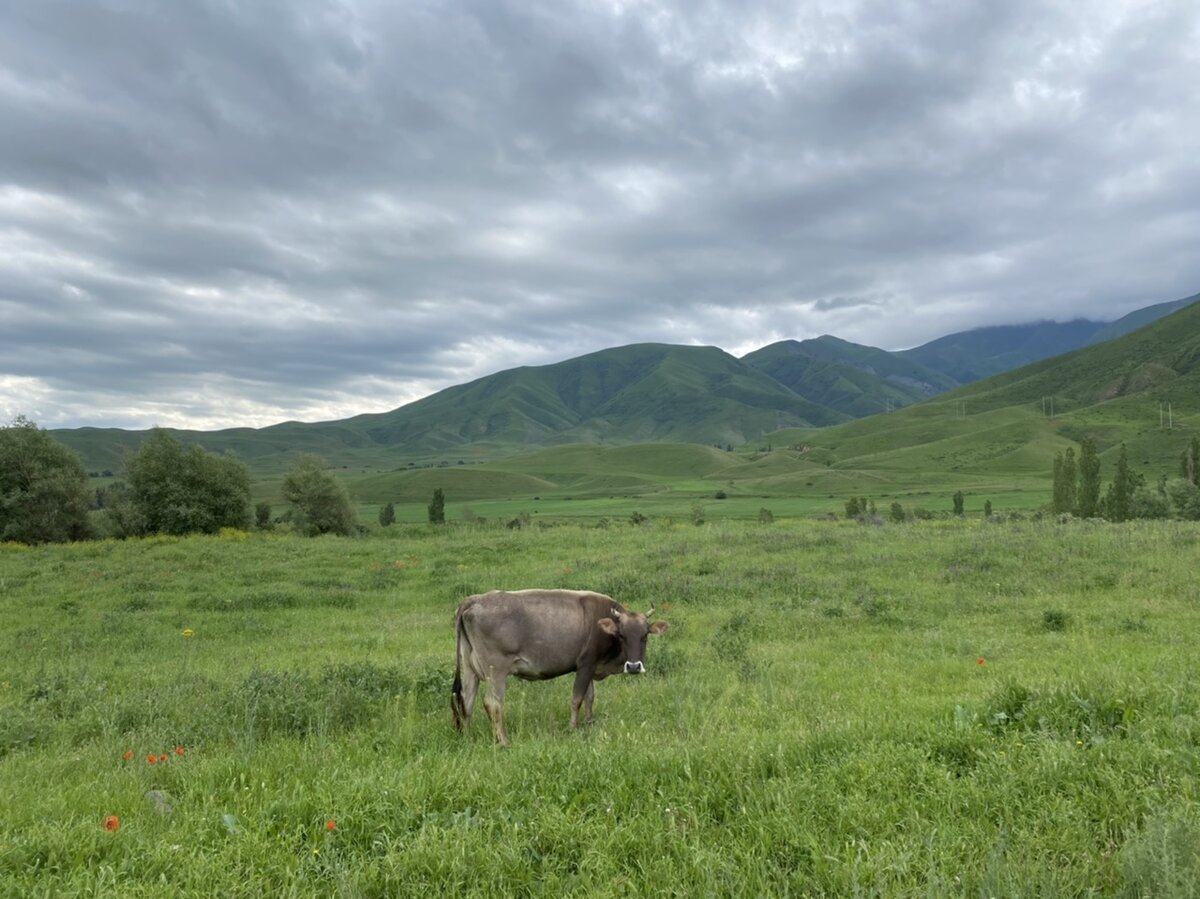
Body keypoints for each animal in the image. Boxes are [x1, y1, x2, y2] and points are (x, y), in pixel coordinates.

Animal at [451, 588, 672, 744]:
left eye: (644, 636)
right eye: (621, 635)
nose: (634, 666)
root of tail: (474, 599)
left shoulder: (591, 668)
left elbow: (590, 697)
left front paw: (589, 723)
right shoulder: (585, 664)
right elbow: (577, 699)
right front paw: (573, 727)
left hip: (469, 667)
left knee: (466, 700)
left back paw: (468, 738)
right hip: (496, 670)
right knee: (492, 703)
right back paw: (504, 741)